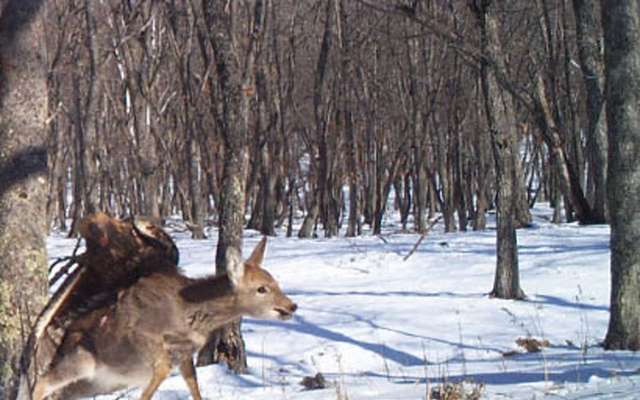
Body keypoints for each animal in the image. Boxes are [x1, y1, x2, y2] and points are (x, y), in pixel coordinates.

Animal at [21, 236, 297, 400]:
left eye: (275, 281)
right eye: (262, 288)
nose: (291, 306)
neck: (189, 314)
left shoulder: (185, 353)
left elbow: (194, 385)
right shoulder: (141, 334)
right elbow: (161, 371)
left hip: (90, 384)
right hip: (81, 360)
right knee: (41, 383)